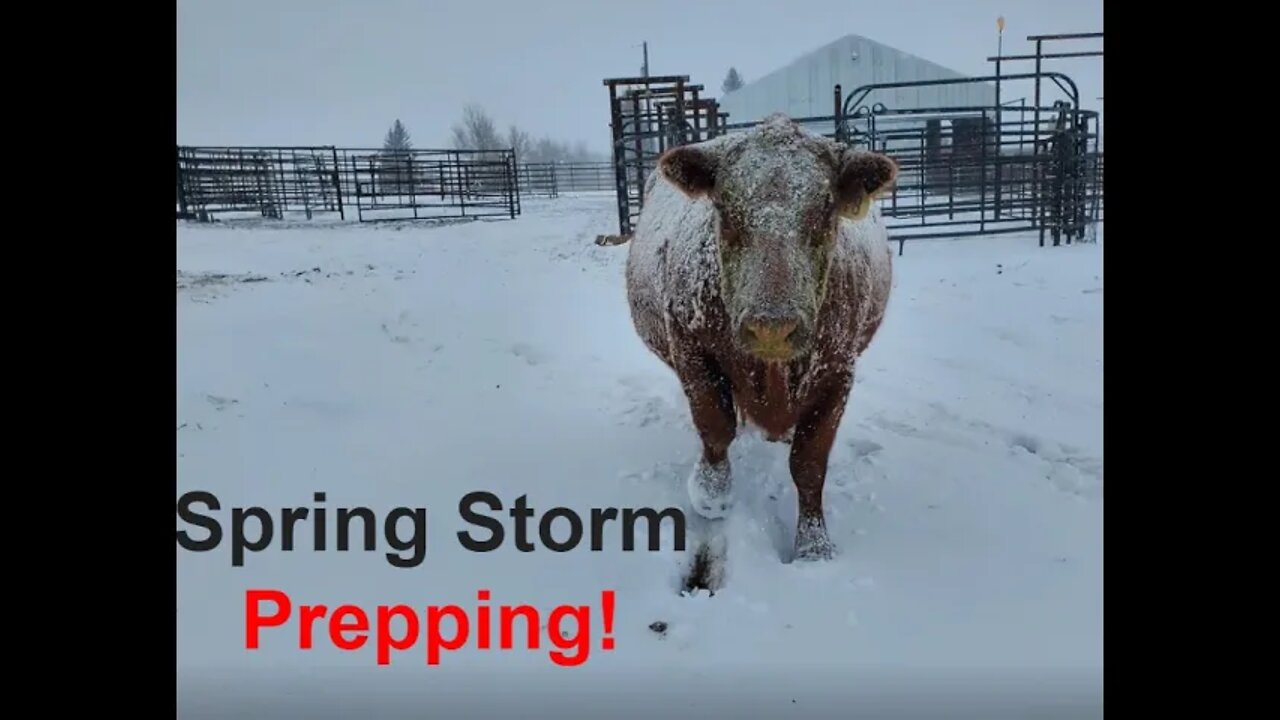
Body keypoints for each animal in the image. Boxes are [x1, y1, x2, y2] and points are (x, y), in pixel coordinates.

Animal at [624, 113, 896, 561]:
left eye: (825, 211)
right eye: (723, 208)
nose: (772, 325)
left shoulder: (838, 372)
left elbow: (809, 463)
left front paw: (813, 546)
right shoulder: (691, 350)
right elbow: (715, 426)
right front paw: (711, 496)